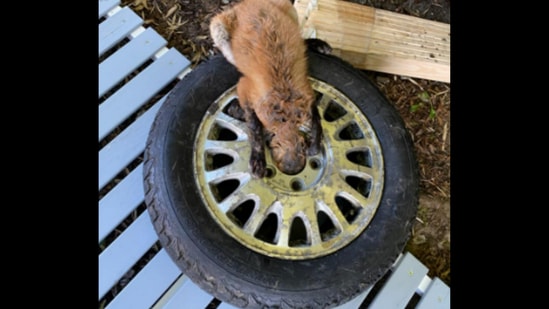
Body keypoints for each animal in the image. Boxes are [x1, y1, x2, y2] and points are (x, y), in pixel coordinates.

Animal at [209, 0, 330, 177]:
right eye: (275, 146)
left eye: (302, 147)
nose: (294, 171)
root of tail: (247, 3)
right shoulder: (245, 88)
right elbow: (254, 129)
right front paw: (258, 160)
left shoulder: (307, 93)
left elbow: (317, 122)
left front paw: (315, 144)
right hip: (218, 30)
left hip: (290, 10)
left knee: (300, 36)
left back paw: (315, 44)